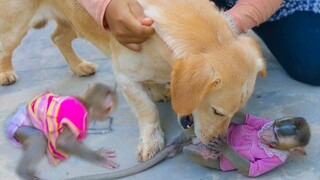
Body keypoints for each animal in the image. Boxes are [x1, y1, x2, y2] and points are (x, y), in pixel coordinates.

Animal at [0, 0, 264, 161]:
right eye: (218, 112)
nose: (220, 142)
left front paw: (159, 89)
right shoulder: (125, 78)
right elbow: (147, 111)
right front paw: (151, 141)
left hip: (73, 23)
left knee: (57, 37)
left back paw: (79, 66)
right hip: (14, 27)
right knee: (7, 47)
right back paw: (6, 73)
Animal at [184, 112, 312, 177]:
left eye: (275, 137)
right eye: (273, 126)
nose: (265, 134)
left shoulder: (277, 159)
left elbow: (251, 169)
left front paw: (224, 147)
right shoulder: (265, 122)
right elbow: (246, 118)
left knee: (190, 152)